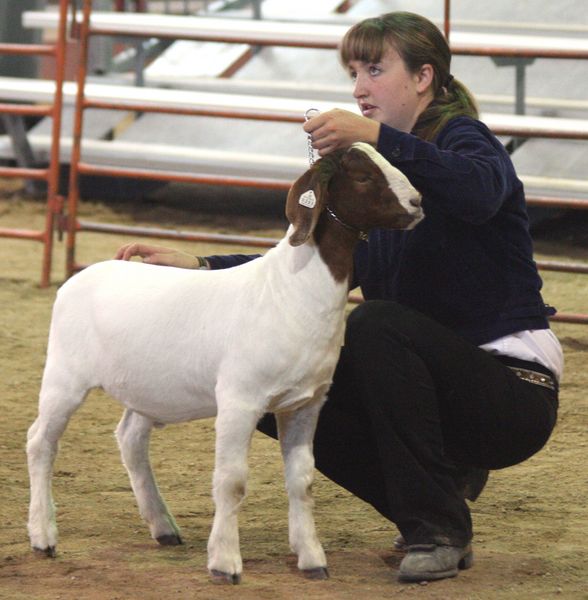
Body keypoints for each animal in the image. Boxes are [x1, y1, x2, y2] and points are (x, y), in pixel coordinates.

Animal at [27, 143, 422, 584]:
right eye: (363, 176)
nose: (417, 203)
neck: (290, 288)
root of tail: (84, 275)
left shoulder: (306, 403)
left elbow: (302, 481)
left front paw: (312, 559)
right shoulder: (240, 400)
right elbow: (232, 482)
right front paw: (225, 563)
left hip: (147, 388)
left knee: (130, 438)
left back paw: (163, 527)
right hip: (63, 376)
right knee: (40, 442)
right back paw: (43, 537)